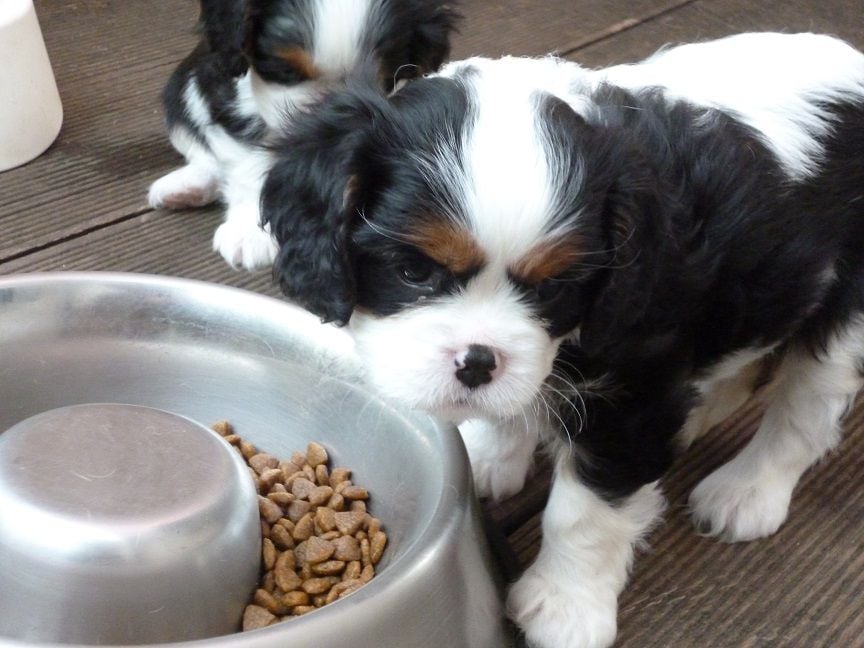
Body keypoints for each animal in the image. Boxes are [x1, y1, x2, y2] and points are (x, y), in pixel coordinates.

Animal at [147, 0, 458, 270]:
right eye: (286, 70)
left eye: (382, 80)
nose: (324, 109)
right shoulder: (229, 99)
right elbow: (249, 165)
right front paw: (251, 230)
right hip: (180, 91)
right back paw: (189, 187)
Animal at [259, 32, 864, 647]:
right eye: (413, 271)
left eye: (553, 288)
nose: (477, 363)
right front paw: (489, 458)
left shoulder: (631, 395)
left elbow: (584, 514)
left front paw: (565, 607)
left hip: (846, 315)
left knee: (806, 412)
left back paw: (748, 491)